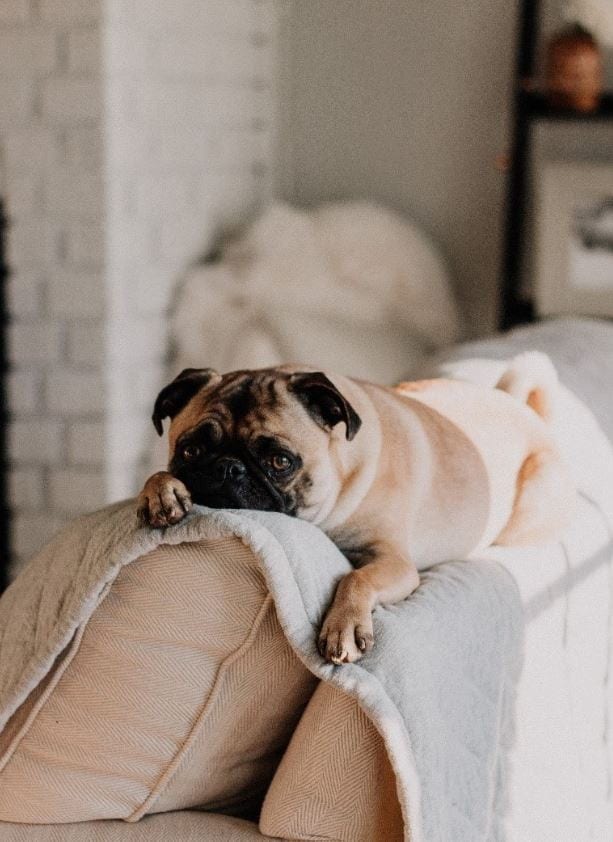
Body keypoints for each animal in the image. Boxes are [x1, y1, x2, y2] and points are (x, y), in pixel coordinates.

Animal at [137, 354, 572, 664]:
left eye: (280, 461)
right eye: (191, 451)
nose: (228, 468)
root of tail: (522, 409)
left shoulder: (394, 562)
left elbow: (356, 578)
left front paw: (344, 626)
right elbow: (157, 475)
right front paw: (161, 491)